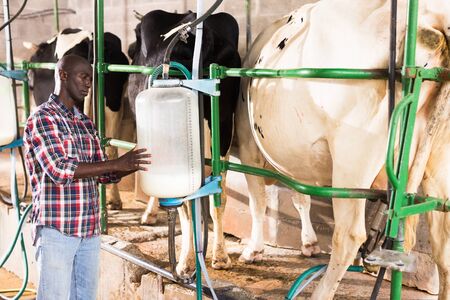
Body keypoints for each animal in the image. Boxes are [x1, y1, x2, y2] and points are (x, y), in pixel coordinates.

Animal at [126, 11, 241, 278]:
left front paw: (149, 213)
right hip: (223, 130)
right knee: (218, 194)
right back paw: (219, 255)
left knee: (187, 203)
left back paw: (186, 261)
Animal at [236, 1, 450, 298]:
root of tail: (433, 14)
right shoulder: (298, 163)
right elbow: (301, 197)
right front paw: (309, 243)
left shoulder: (248, 144)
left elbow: (257, 201)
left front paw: (253, 250)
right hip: (439, 159)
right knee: (443, 241)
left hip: (353, 155)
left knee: (350, 235)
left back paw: (321, 291)